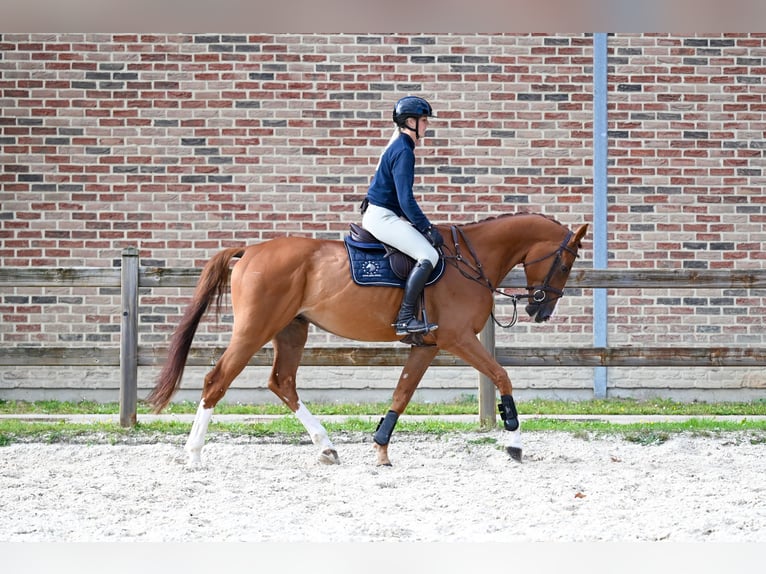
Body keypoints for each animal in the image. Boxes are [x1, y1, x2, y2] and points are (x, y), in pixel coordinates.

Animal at [146, 215, 588, 468]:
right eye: (565, 263)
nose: (540, 310)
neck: (471, 259)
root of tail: (251, 250)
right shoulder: (459, 338)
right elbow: (502, 376)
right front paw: (514, 443)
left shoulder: (427, 345)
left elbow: (402, 394)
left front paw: (381, 447)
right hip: (254, 330)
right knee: (216, 381)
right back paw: (194, 455)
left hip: (292, 330)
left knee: (282, 382)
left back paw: (325, 447)